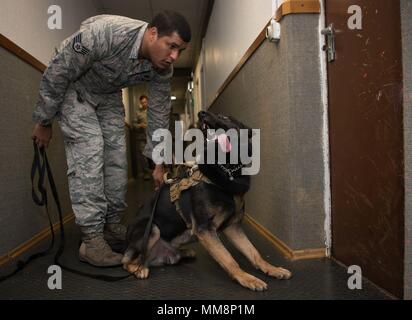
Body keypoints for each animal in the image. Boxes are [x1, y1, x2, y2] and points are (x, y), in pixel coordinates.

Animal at [123, 110, 292, 290]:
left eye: (225, 117)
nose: (201, 113)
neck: (226, 170)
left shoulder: (233, 227)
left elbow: (254, 252)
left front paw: (272, 269)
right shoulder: (205, 229)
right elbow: (228, 258)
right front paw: (247, 278)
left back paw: (183, 253)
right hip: (152, 229)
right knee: (127, 260)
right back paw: (139, 268)